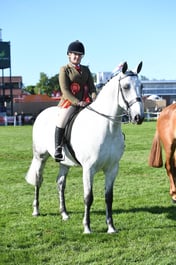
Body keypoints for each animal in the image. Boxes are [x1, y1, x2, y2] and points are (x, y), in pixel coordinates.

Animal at [26, 62, 144, 233]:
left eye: (141, 86)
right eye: (126, 86)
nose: (139, 117)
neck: (107, 127)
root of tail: (42, 114)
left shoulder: (112, 168)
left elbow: (109, 197)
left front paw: (111, 227)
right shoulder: (89, 169)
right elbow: (88, 197)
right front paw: (87, 227)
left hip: (64, 163)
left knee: (60, 183)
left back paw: (64, 214)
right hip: (40, 157)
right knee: (37, 180)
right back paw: (36, 210)